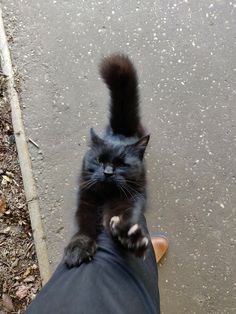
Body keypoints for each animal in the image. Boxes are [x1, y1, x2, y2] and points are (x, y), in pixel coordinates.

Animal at [63, 54, 150, 268]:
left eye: (121, 164)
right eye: (99, 160)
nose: (108, 172)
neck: (105, 196)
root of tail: (121, 131)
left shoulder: (129, 200)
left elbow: (124, 218)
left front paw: (131, 239)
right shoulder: (85, 199)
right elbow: (82, 224)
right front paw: (79, 247)